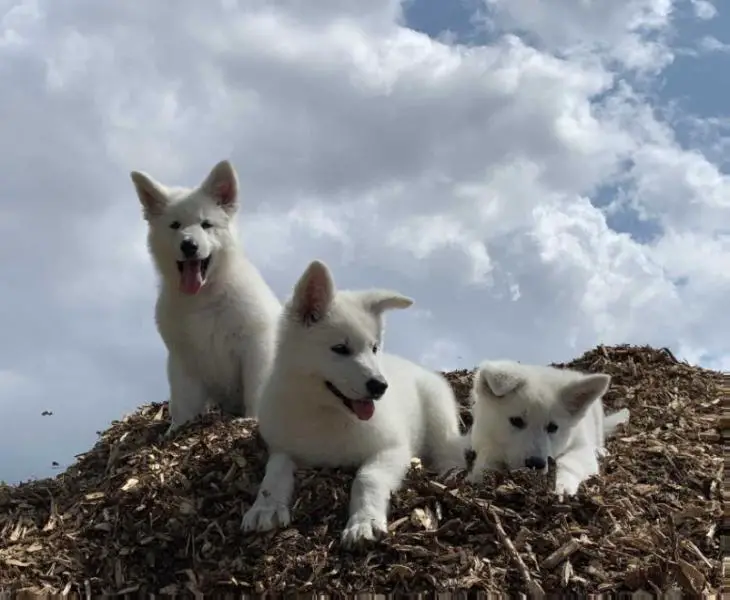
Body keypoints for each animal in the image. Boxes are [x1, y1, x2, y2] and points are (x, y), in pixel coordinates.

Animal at [130, 160, 281, 434]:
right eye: (175, 225)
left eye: (206, 224)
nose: (189, 246)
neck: (204, 298)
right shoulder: (183, 359)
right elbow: (183, 402)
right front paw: (175, 431)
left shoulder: (257, 347)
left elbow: (256, 388)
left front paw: (251, 420)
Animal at [240, 259, 469, 548]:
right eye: (340, 348)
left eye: (373, 348)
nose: (380, 387)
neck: (326, 411)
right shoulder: (281, 448)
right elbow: (275, 471)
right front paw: (265, 507)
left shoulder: (391, 449)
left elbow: (367, 478)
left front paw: (364, 523)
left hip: (438, 414)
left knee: (450, 449)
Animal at [466, 360, 630, 497]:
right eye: (516, 421)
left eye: (553, 427)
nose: (536, 464)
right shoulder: (485, 442)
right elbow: (486, 461)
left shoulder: (580, 446)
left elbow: (570, 462)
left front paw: (563, 486)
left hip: (596, 416)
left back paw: (600, 450)